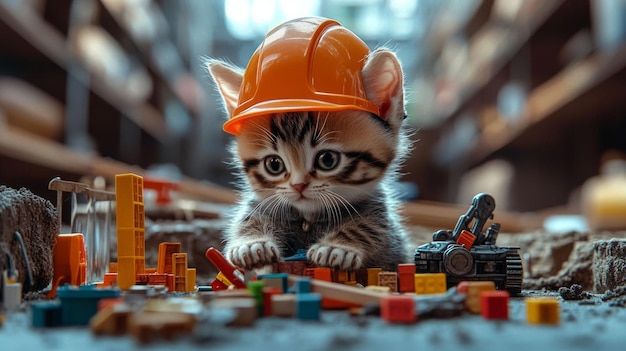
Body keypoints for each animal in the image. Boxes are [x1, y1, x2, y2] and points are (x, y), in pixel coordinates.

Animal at [208, 47, 410, 272]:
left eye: (328, 160)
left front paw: (337, 247)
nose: (298, 186)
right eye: (274, 164)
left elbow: (369, 226)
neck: (308, 218)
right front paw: (251, 244)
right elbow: (248, 219)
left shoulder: (383, 222)